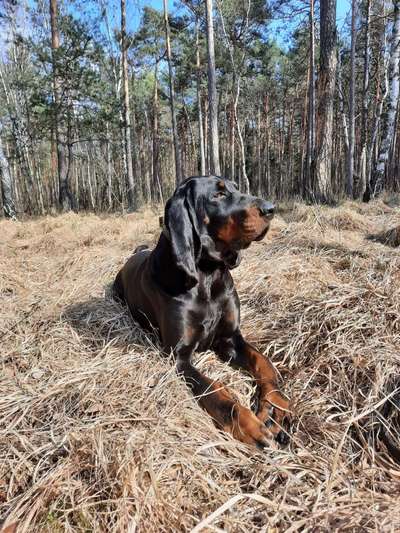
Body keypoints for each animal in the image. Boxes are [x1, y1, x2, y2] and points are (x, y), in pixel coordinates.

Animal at [113, 177, 290, 446]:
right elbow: (212, 389)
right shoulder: (178, 356)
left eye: (237, 187)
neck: (207, 274)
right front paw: (248, 424)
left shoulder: (230, 337)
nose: (271, 208)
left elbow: (263, 362)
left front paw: (273, 405)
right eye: (218, 194)